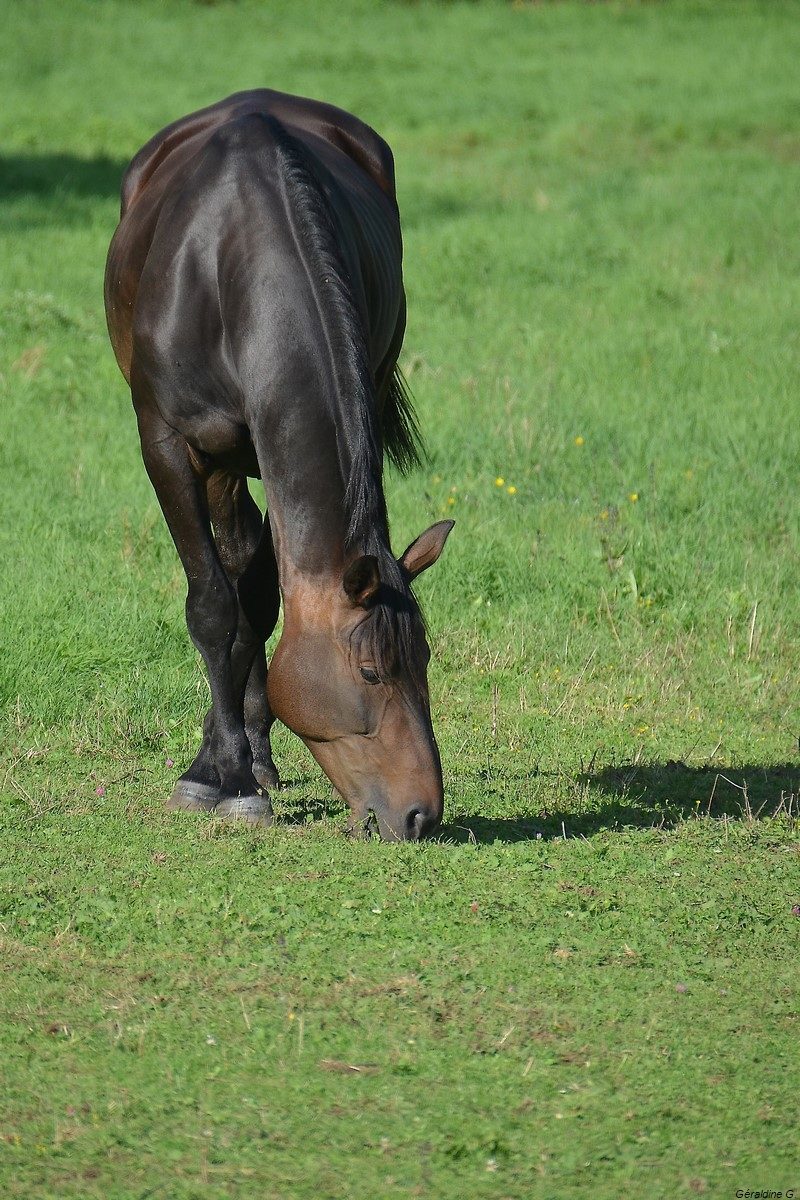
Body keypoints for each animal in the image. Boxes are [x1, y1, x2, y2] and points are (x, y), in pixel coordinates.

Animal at [104, 90, 453, 841]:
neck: (233, 266)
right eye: (372, 673)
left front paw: (240, 761)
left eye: (426, 662)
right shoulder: (172, 446)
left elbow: (257, 606)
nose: (421, 814)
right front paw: (215, 777)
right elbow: (213, 605)